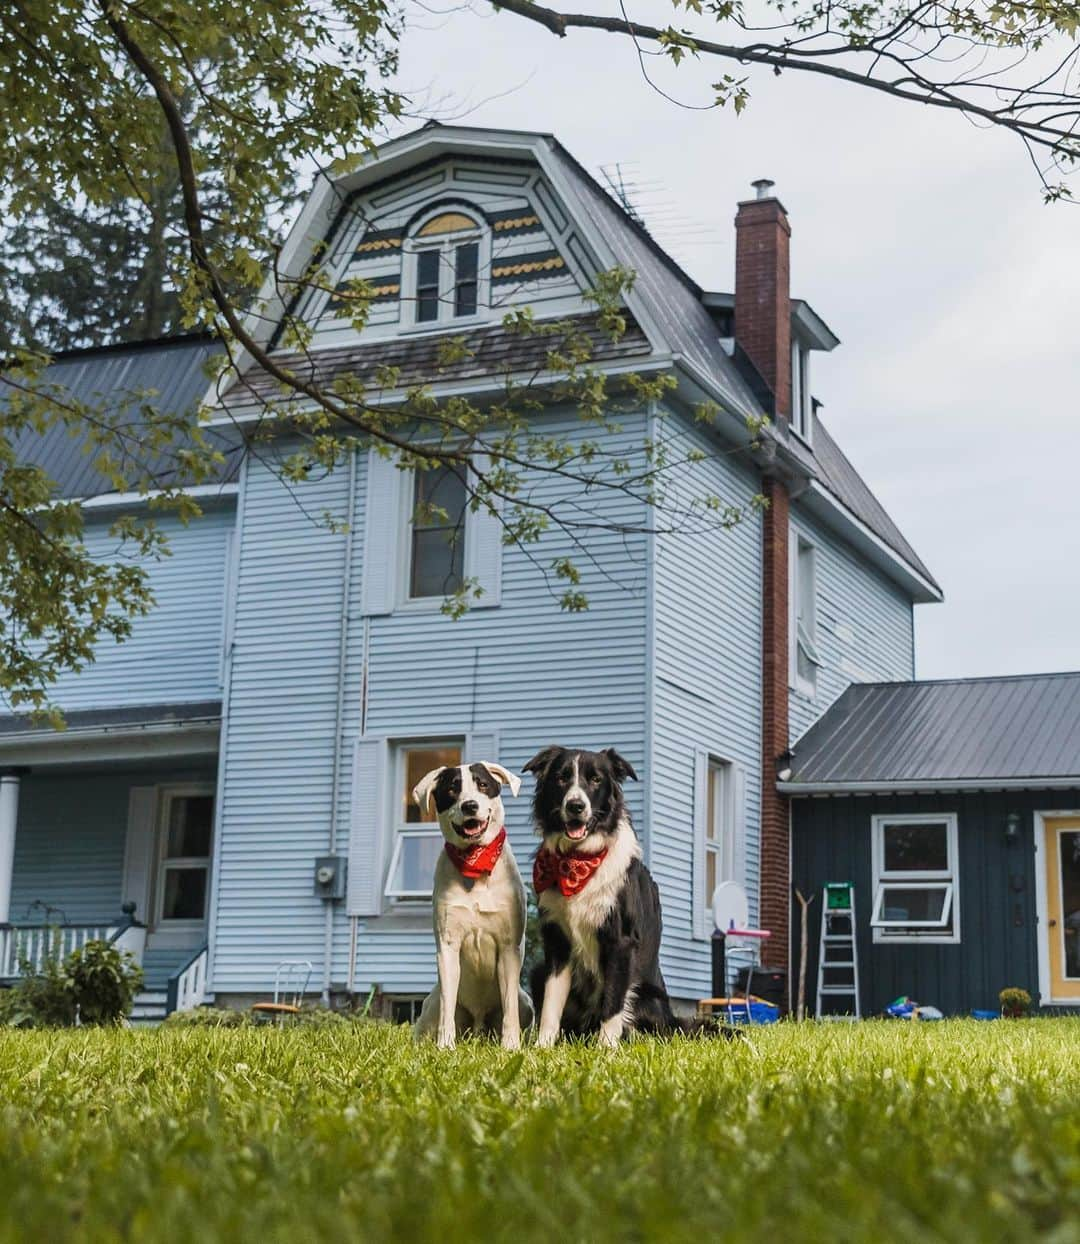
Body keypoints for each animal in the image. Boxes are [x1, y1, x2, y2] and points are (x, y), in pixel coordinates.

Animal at [410, 761, 532, 1044]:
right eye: (452, 789)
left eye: (483, 785)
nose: (470, 805)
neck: (475, 865)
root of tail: (478, 1026)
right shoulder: (448, 946)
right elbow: (447, 1005)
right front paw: (445, 1046)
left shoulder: (509, 948)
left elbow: (509, 1006)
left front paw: (511, 1045)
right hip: (430, 1005)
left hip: (527, 1003)